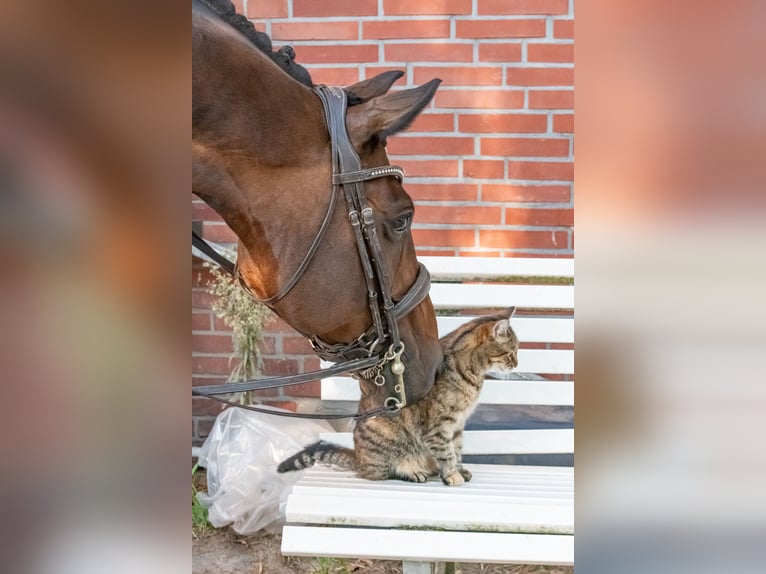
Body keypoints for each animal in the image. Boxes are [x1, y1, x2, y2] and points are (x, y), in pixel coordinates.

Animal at [280, 308, 520, 488]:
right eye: (512, 352)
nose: (516, 364)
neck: (472, 373)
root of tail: (359, 459)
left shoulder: (458, 425)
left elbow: (457, 449)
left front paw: (458, 470)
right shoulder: (439, 426)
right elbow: (447, 452)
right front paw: (452, 474)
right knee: (377, 473)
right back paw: (412, 472)